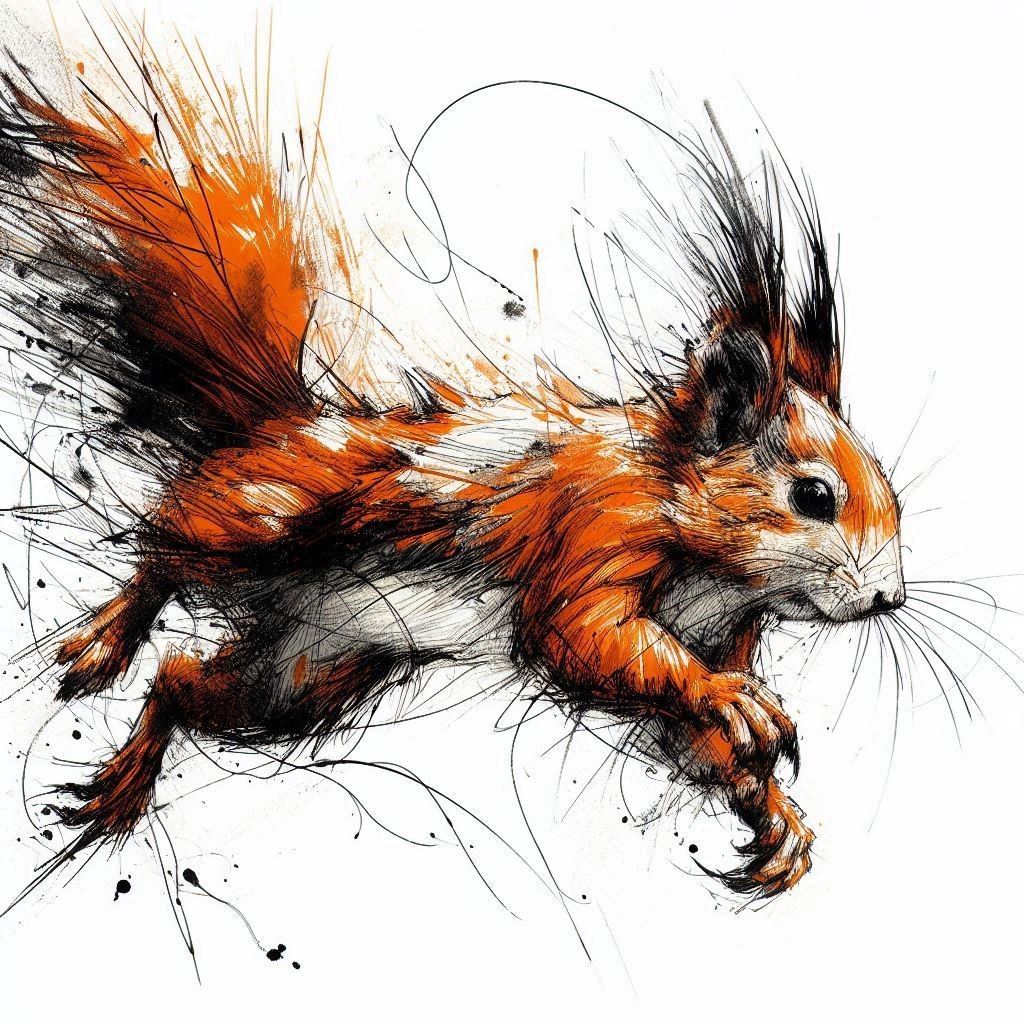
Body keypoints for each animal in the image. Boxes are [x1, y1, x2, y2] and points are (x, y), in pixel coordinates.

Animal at [0, 52, 905, 901]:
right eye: (813, 496)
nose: (888, 598)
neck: (704, 549)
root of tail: (282, 423)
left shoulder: (722, 629)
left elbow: (700, 744)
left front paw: (775, 814)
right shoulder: (596, 527)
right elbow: (584, 633)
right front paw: (730, 700)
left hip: (306, 673)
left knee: (182, 685)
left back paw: (126, 775)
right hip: (267, 516)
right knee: (168, 542)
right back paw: (104, 642)